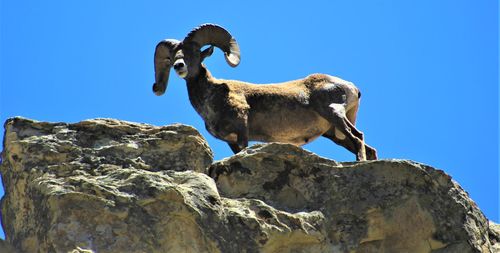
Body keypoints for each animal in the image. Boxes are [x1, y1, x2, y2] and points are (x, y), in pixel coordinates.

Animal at [154, 24, 376, 161]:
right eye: (173, 56)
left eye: (194, 53)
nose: (179, 66)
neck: (211, 97)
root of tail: (351, 87)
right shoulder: (231, 142)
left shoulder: (242, 131)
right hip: (334, 133)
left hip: (333, 111)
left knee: (358, 138)